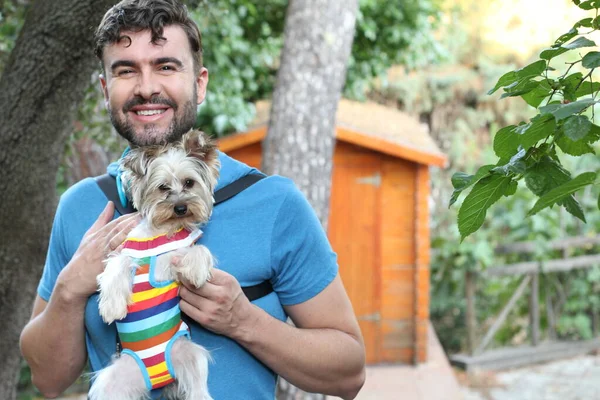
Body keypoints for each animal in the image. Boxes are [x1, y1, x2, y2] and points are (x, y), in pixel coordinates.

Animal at [89, 130, 220, 398]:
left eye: (189, 183)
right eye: (163, 188)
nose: (181, 207)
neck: (164, 231)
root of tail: (160, 378)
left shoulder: (177, 254)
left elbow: (195, 250)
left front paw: (196, 269)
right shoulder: (125, 253)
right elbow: (118, 265)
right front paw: (112, 307)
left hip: (191, 356)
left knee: (196, 385)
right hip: (111, 382)